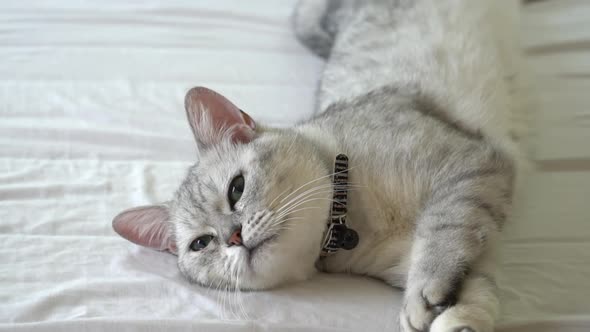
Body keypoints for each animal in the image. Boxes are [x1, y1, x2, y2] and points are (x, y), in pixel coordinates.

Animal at [112, 0, 528, 332]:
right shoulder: (435, 250)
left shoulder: (468, 165)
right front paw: (447, 316)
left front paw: (425, 294)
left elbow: (442, 235)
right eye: (201, 244)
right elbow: (475, 289)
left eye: (236, 188)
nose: (234, 237)